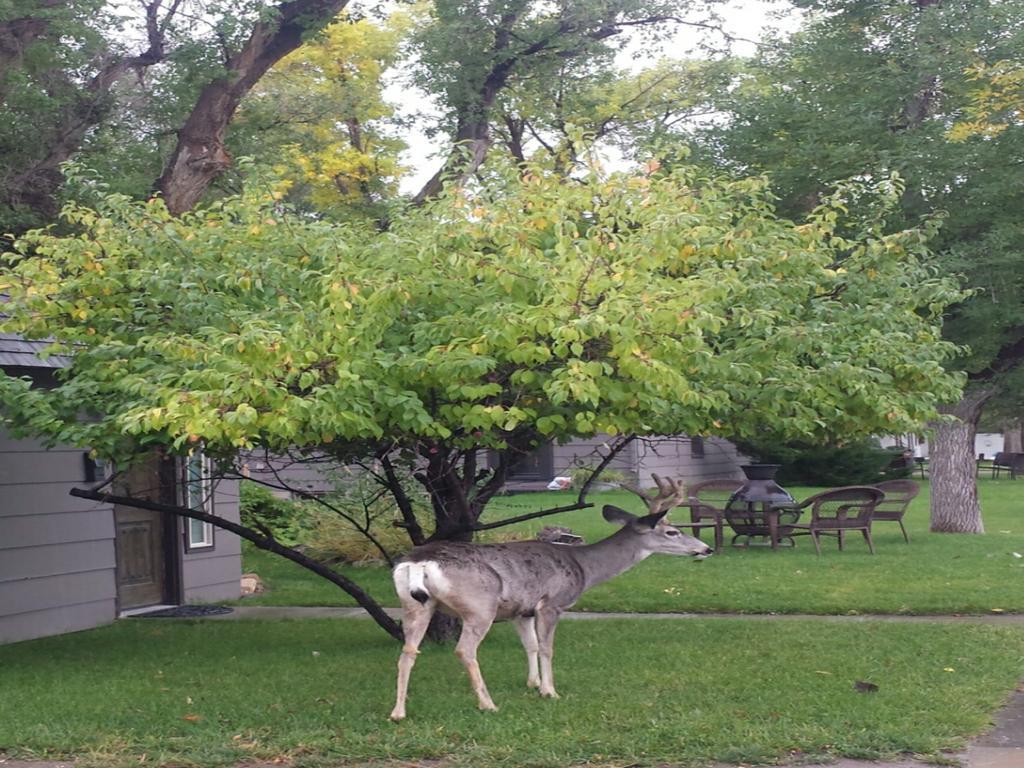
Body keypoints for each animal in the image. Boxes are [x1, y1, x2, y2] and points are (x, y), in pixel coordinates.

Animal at [387, 475, 708, 720]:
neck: (584, 567)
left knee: (408, 651)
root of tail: (419, 561)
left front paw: (532, 683)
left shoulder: (521, 609)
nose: (706, 548)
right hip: (480, 605)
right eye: (672, 532)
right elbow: (546, 648)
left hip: (416, 604)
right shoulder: (551, 603)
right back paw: (488, 704)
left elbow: (529, 645)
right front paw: (549, 691)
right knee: (464, 650)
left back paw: (398, 712)